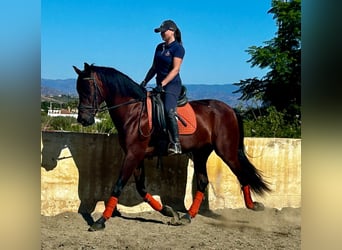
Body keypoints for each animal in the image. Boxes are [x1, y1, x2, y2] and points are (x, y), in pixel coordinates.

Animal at [72, 62, 270, 230]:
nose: (83, 119)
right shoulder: (136, 155)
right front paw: (168, 211)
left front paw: (100, 221)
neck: (134, 111)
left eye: (88, 89)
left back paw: (252, 205)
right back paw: (188, 216)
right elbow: (141, 188)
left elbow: (118, 185)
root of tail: (229, 109)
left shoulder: (133, 154)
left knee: (242, 175)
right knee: (203, 181)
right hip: (201, 153)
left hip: (226, 151)